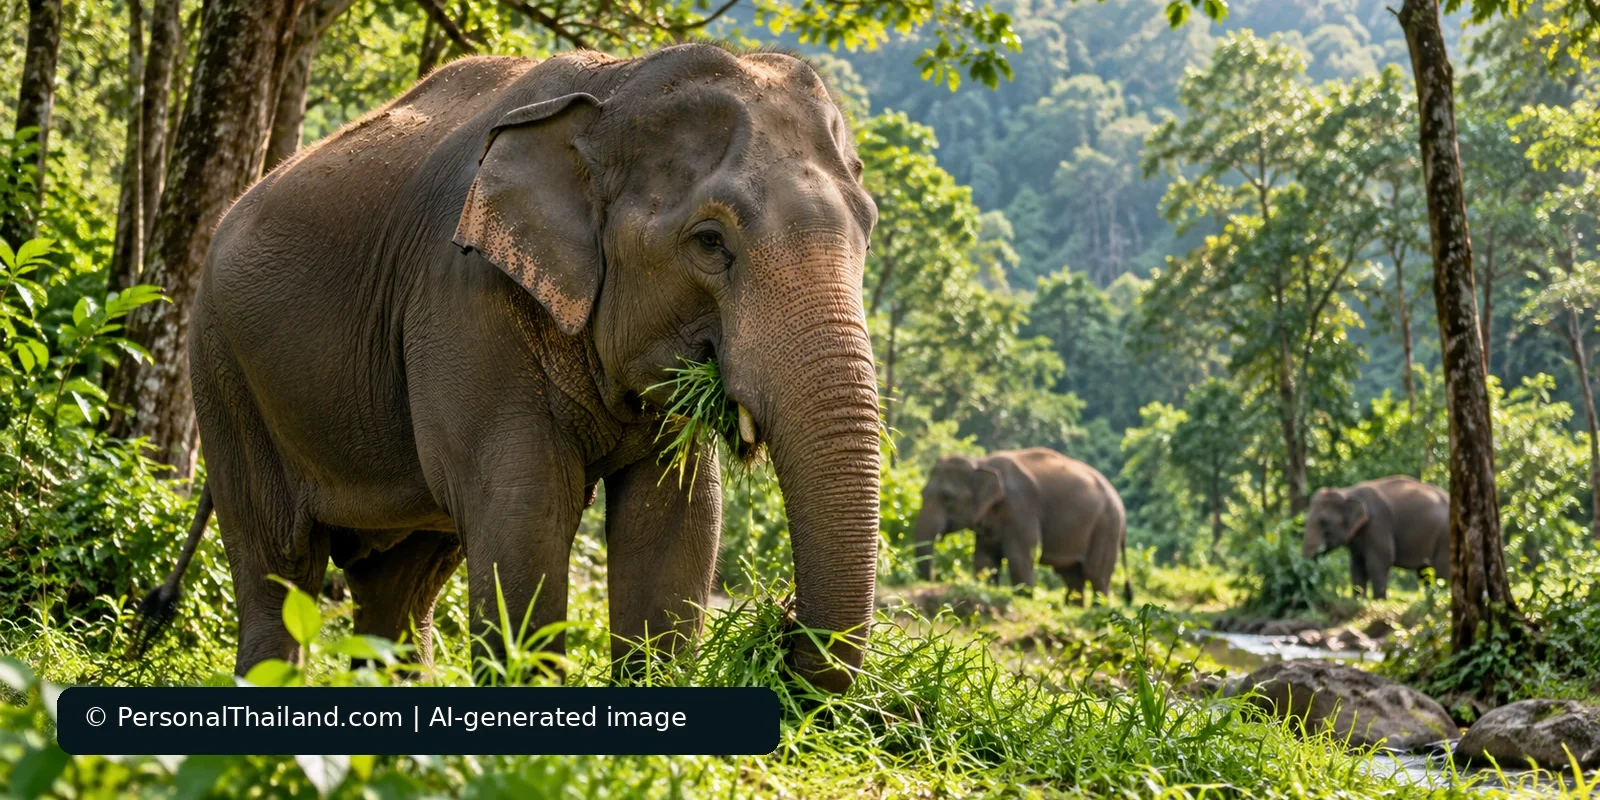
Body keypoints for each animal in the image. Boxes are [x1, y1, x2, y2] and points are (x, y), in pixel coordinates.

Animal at [138, 44, 881, 692]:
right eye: (709, 241)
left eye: (867, 230)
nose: (780, 623)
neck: (617, 85)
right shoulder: (463, 301)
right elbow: (524, 511)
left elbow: (677, 519)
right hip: (223, 368)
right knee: (279, 563)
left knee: (399, 584)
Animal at [911, 449, 1130, 604]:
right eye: (921, 493)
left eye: (948, 497)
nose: (932, 581)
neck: (981, 462)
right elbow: (984, 558)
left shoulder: (1021, 506)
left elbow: (1021, 555)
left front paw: (1024, 599)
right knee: (1071, 576)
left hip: (1107, 526)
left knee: (1096, 574)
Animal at [1302, 476, 1450, 599]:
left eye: (1324, 522)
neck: (1347, 492)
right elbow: (1356, 565)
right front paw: (1358, 600)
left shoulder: (1378, 523)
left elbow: (1379, 561)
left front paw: (1378, 601)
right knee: (1425, 572)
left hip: (1446, 537)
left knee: (1441, 571)